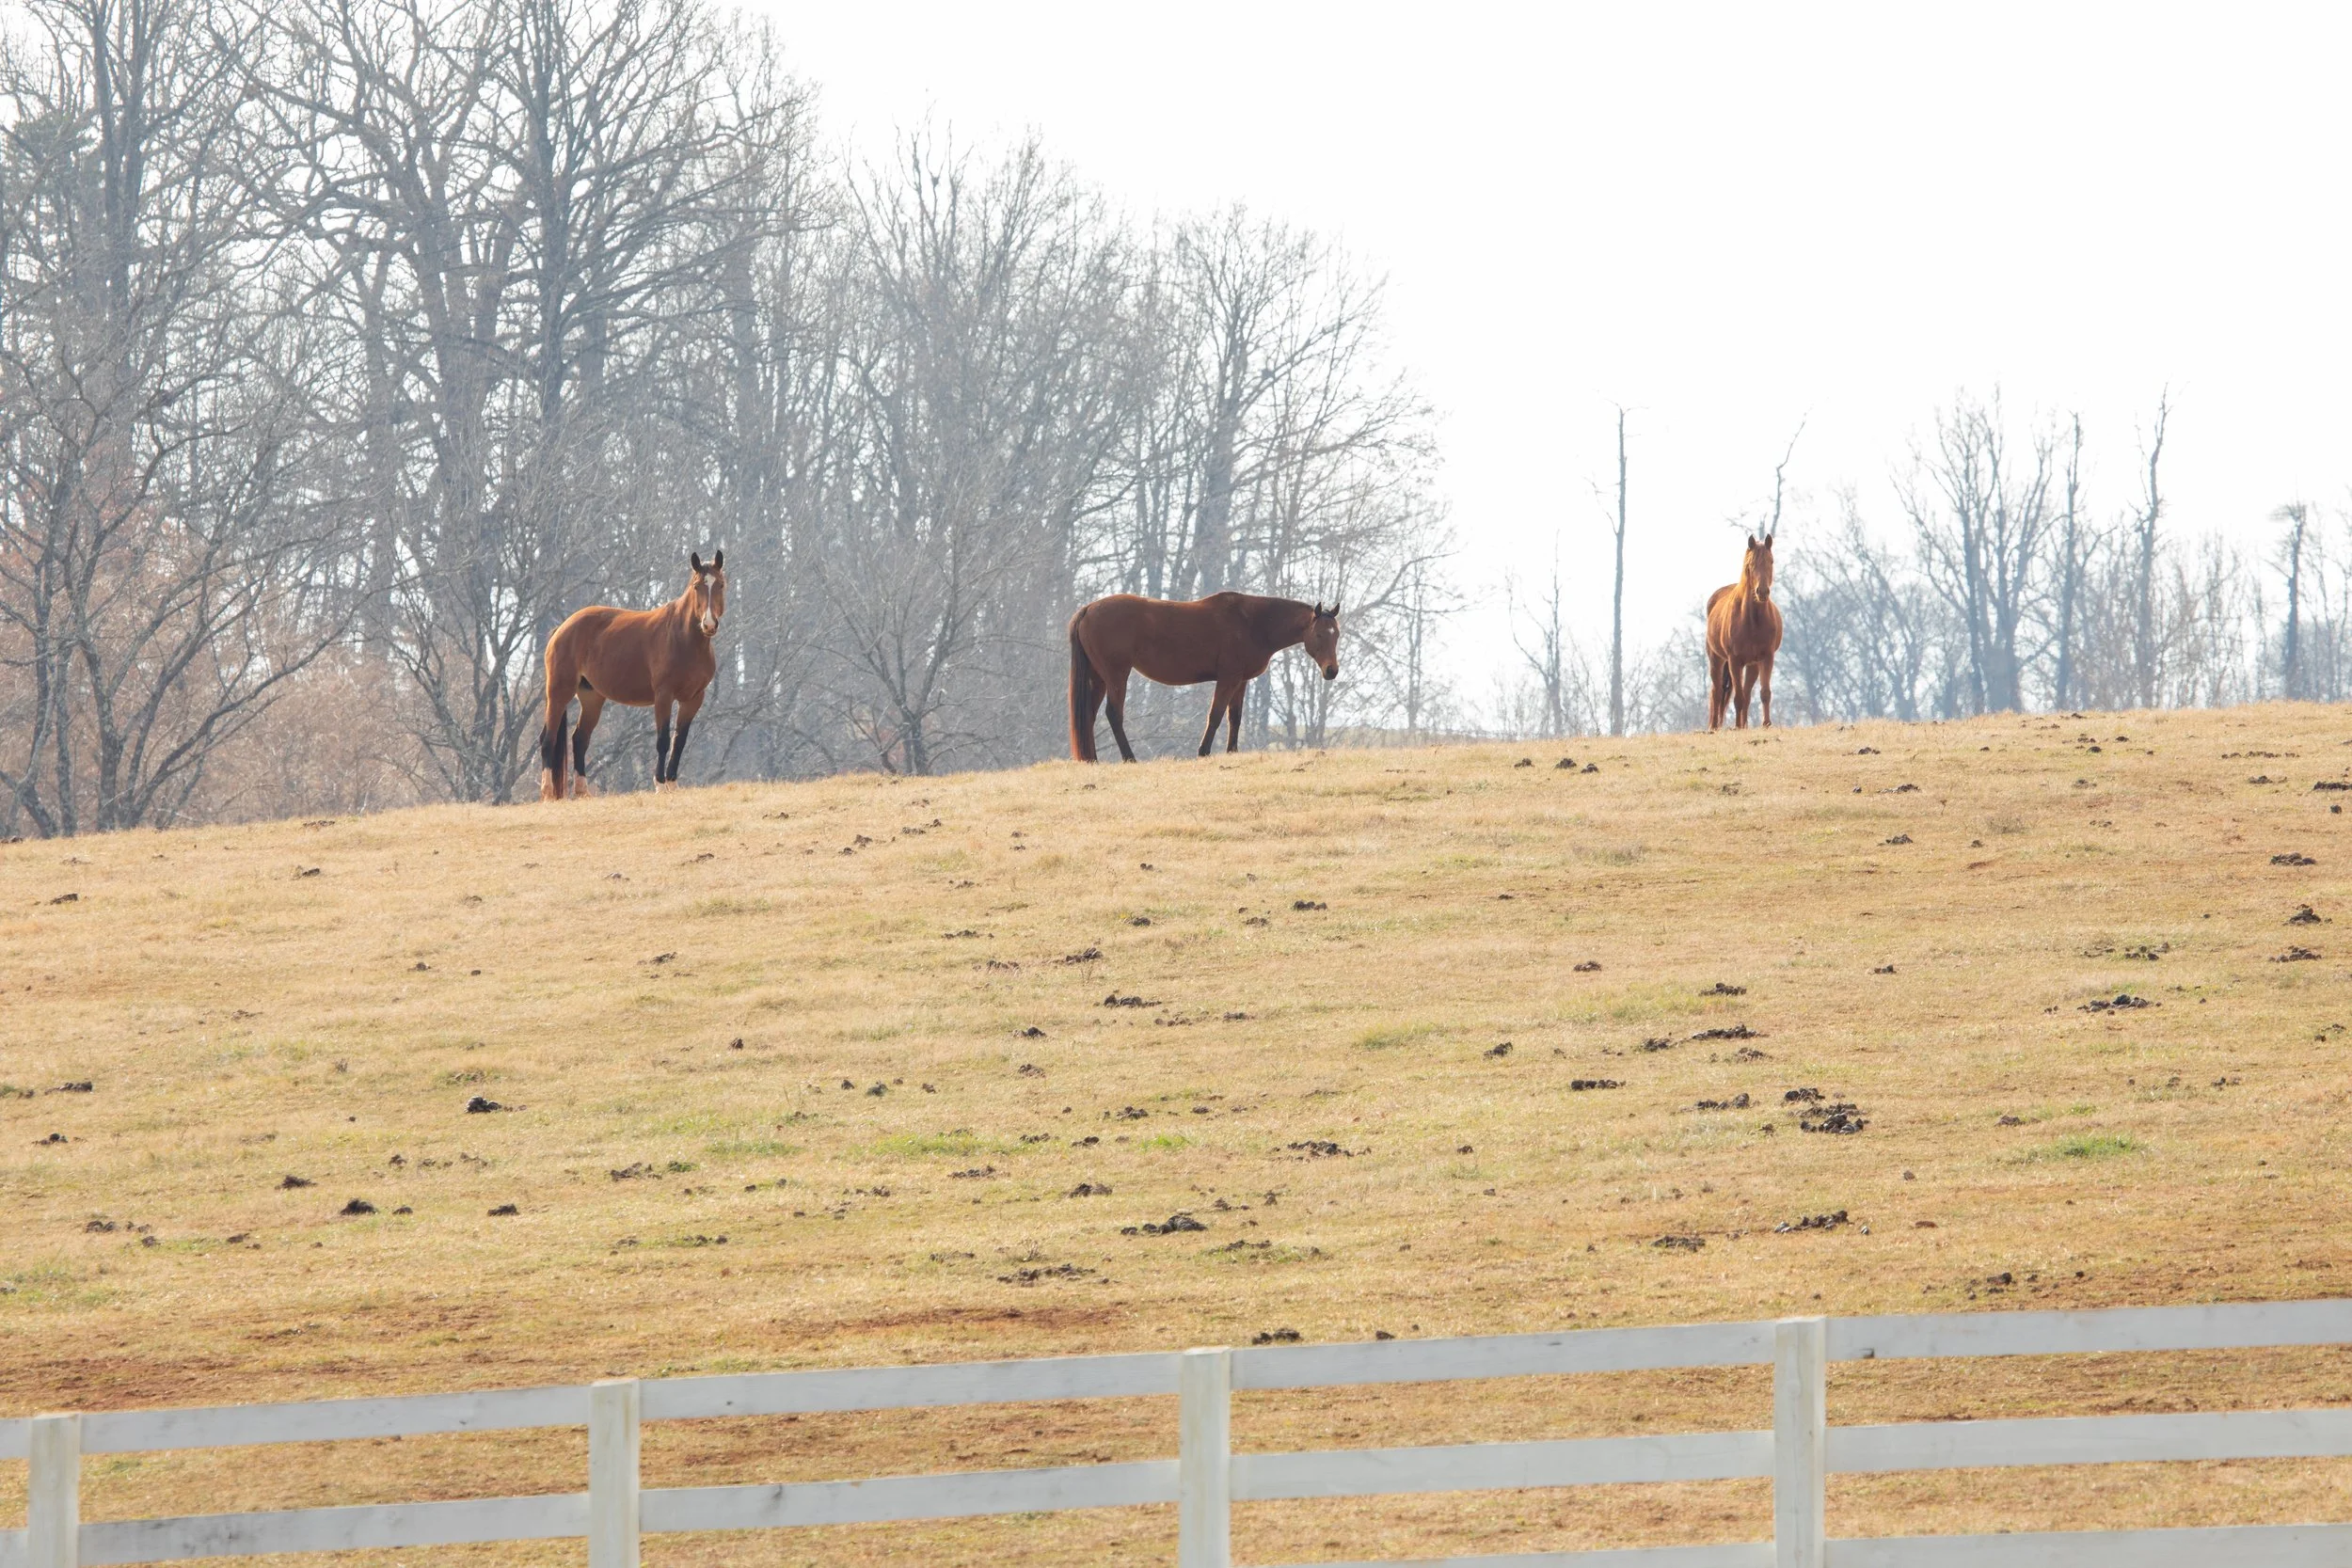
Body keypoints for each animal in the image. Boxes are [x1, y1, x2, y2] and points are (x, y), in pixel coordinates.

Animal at [538, 551, 726, 801]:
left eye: (721, 584)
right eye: (697, 586)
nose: (709, 624)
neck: (683, 638)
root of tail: (562, 628)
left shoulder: (693, 699)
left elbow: (679, 741)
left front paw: (673, 784)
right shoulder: (663, 696)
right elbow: (663, 740)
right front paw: (660, 785)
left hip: (591, 698)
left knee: (580, 739)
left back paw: (582, 791)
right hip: (559, 693)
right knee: (548, 739)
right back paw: (548, 793)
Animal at [1067, 592, 1340, 762]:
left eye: (1336, 634)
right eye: (1318, 635)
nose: (1332, 670)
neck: (1252, 623)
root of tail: (1088, 609)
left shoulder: (1241, 681)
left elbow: (1235, 717)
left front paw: (1232, 751)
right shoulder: (1228, 678)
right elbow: (1216, 715)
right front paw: (1204, 751)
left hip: (1099, 678)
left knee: (1089, 715)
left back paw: (1092, 759)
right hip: (1116, 676)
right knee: (1114, 714)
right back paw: (1129, 758)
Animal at [1705, 534, 1781, 731]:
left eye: (1771, 561)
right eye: (1750, 564)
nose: (1762, 592)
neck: (1752, 621)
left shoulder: (1766, 657)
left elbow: (1764, 693)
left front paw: (1766, 724)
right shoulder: (1734, 660)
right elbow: (1737, 697)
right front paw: (1738, 727)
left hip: (1752, 665)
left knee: (1746, 694)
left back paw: (1743, 725)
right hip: (1717, 659)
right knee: (1717, 692)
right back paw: (1714, 727)